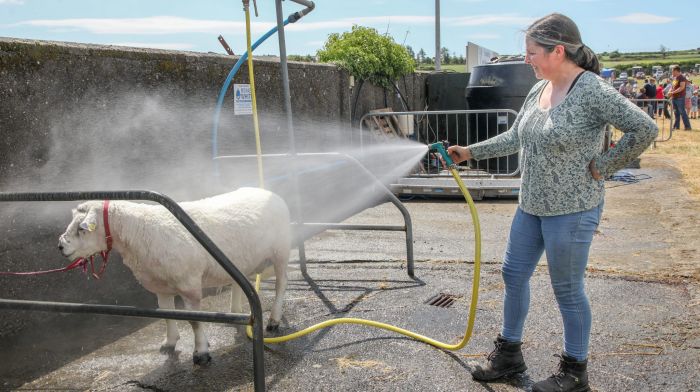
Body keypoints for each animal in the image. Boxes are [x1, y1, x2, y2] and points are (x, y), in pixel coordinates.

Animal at [56, 187, 292, 364]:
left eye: (81, 228)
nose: (60, 246)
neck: (139, 231)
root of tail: (270, 192)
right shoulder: (160, 286)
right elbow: (167, 313)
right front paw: (169, 342)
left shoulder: (189, 285)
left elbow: (195, 322)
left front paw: (201, 352)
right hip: (239, 258)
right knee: (239, 281)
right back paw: (235, 312)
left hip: (281, 250)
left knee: (281, 284)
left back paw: (273, 320)